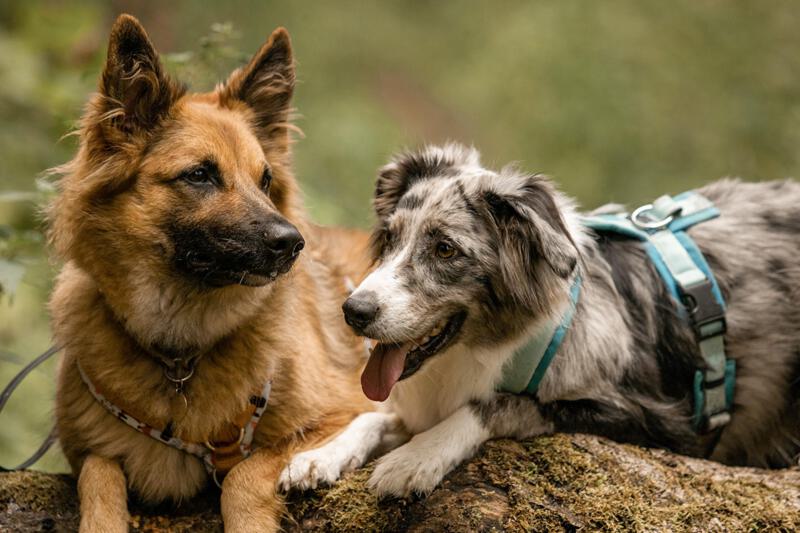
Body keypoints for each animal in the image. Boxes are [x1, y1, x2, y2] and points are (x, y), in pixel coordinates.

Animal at [48, 14, 374, 528]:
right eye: (200, 175)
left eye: (265, 179)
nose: (292, 244)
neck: (180, 354)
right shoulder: (87, 450)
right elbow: (98, 478)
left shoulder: (338, 412)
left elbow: (244, 476)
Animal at [278, 144, 800, 494]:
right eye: (389, 238)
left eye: (445, 249)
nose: (354, 312)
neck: (493, 346)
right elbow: (371, 415)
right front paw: (321, 456)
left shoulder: (660, 420)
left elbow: (497, 403)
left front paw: (416, 457)